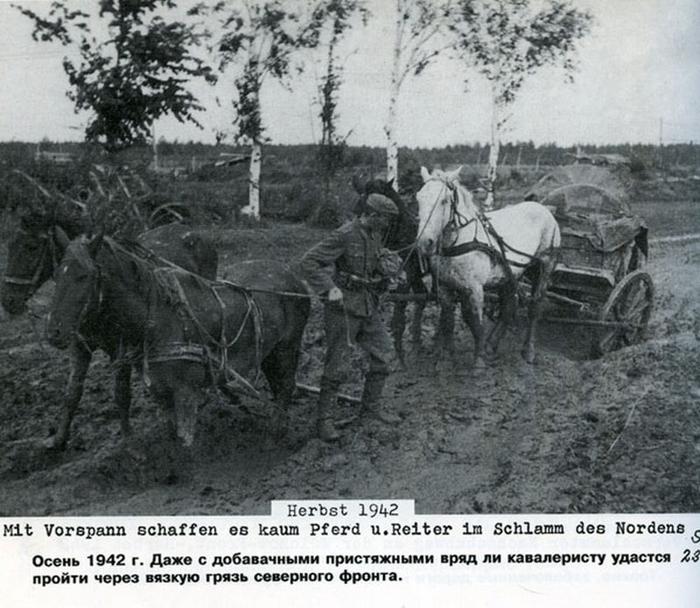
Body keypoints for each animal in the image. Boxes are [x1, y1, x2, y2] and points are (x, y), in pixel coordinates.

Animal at [2, 197, 219, 448]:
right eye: (10, 245)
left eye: (31, 247)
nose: (8, 300)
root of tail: (190, 229)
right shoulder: (80, 347)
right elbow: (72, 393)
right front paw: (58, 441)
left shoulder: (121, 350)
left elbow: (121, 393)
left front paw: (127, 441)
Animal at [47, 236, 308, 446]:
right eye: (56, 276)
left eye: (85, 276)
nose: (53, 333)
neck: (158, 316)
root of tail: (294, 275)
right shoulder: (160, 391)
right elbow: (171, 436)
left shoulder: (185, 392)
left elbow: (185, 442)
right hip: (270, 353)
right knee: (278, 388)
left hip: (288, 347)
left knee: (286, 386)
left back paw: (275, 435)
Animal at [416, 164, 556, 368]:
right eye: (418, 198)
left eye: (444, 201)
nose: (424, 243)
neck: (458, 242)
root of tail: (542, 208)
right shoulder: (444, 287)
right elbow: (448, 321)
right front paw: (446, 360)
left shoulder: (475, 288)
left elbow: (476, 323)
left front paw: (479, 363)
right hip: (510, 274)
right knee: (509, 306)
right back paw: (492, 345)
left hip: (544, 266)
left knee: (535, 307)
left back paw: (528, 351)